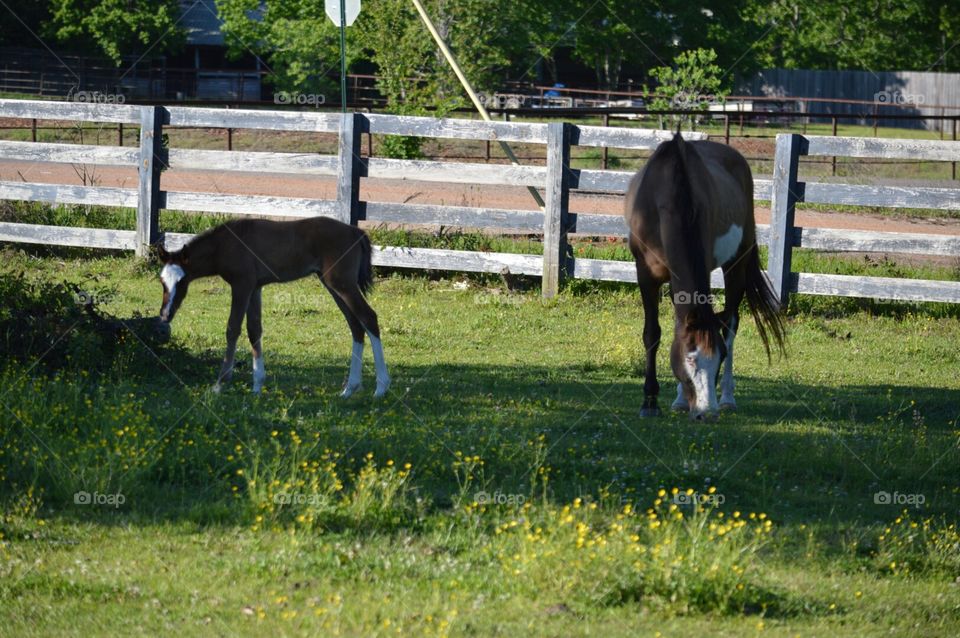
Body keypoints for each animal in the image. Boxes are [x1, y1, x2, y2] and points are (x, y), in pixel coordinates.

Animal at [156, 216, 390, 398]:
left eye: (182, 281)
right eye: (162, 281)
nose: (165, 315)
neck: (225, 244)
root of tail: (356, 232)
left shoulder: (242, 285)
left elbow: (233, 328)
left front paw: (220, 383)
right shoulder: (255, 287)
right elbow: (254, 330)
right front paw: (257, 385)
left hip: (342, 284)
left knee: (369, 318)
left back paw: (381, 388)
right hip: (333, 285)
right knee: (356, 326)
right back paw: (350, 389)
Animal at [624, 132, 785, 420]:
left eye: (719, 359)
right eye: (690, 358)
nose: (707, 412)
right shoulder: (645, 273)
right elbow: (653, 333)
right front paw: (650, 402)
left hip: (736, 264)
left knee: (731, 322)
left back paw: (728, 398)